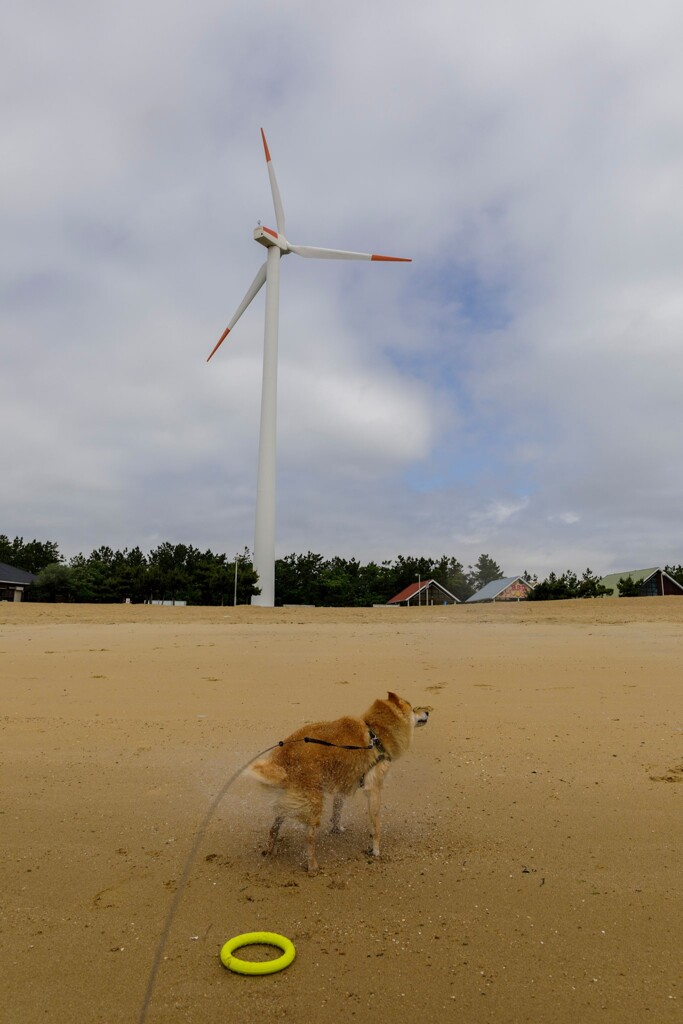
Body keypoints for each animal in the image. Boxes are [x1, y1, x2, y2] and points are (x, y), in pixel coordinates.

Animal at [245, 688, 430, 872]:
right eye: (413, 707)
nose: (428, 711)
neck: (376, 734)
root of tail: (281, 761)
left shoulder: (342, 783)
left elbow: (337, 809)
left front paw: (336, 828)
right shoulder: (374, 789)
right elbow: (376, 824)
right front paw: (376, 850)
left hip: (286, 803)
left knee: (273, 828)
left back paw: (270, 852)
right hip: (313, 804)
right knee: (309, 838)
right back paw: (313, 866)